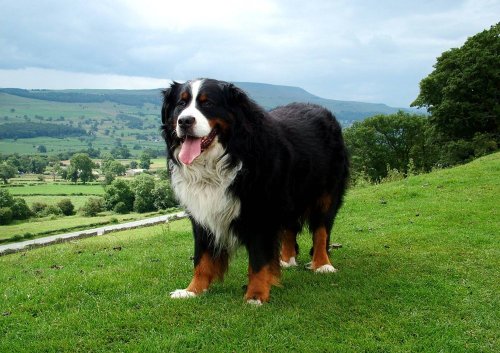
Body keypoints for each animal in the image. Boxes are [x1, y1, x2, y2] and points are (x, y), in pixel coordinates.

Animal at [160, 78, 348, 304]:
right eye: (181, 103)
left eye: (208, 103)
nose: (185, 121)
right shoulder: (202, 213)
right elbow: (202, 257)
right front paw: (192, 290)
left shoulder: (260, 210)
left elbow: (258, 259)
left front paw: (256, 295)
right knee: (289, 227)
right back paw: (286, 260)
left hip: (326, 194)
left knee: (321, 230)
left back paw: (322, 264)